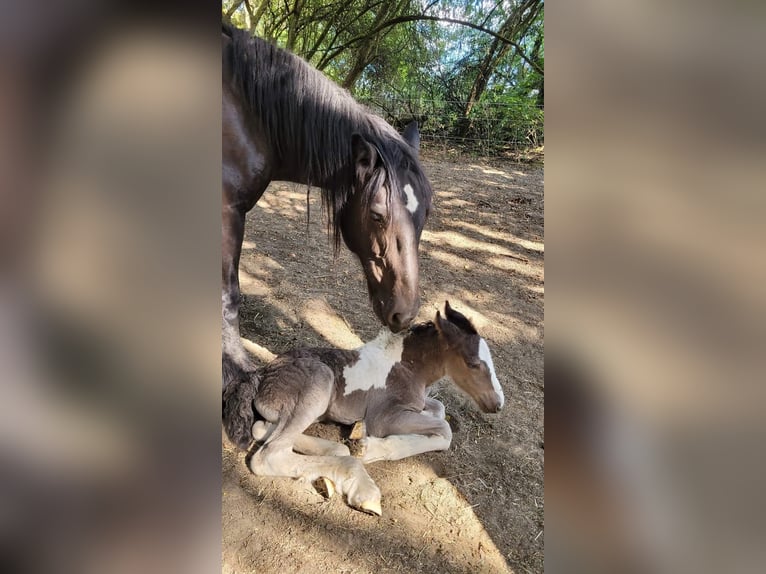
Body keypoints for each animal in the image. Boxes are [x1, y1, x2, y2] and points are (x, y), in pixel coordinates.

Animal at [225, 23, 436, 382]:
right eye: (377, 215)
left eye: (425, 215)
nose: (405, 315)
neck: (248, 117)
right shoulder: (227, 211)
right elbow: (229, 295)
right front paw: (237, 367)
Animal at [225, 304, 508, 520]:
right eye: (473, 363)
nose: (497, 403)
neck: (408, 367)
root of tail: (261, 374)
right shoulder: (383, 418)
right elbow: (444, 430)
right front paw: (372, 447)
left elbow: (439, 408)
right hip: (321, 382)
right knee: (269, 456)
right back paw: (361, 484)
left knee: (262, 428)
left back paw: (339, 450)